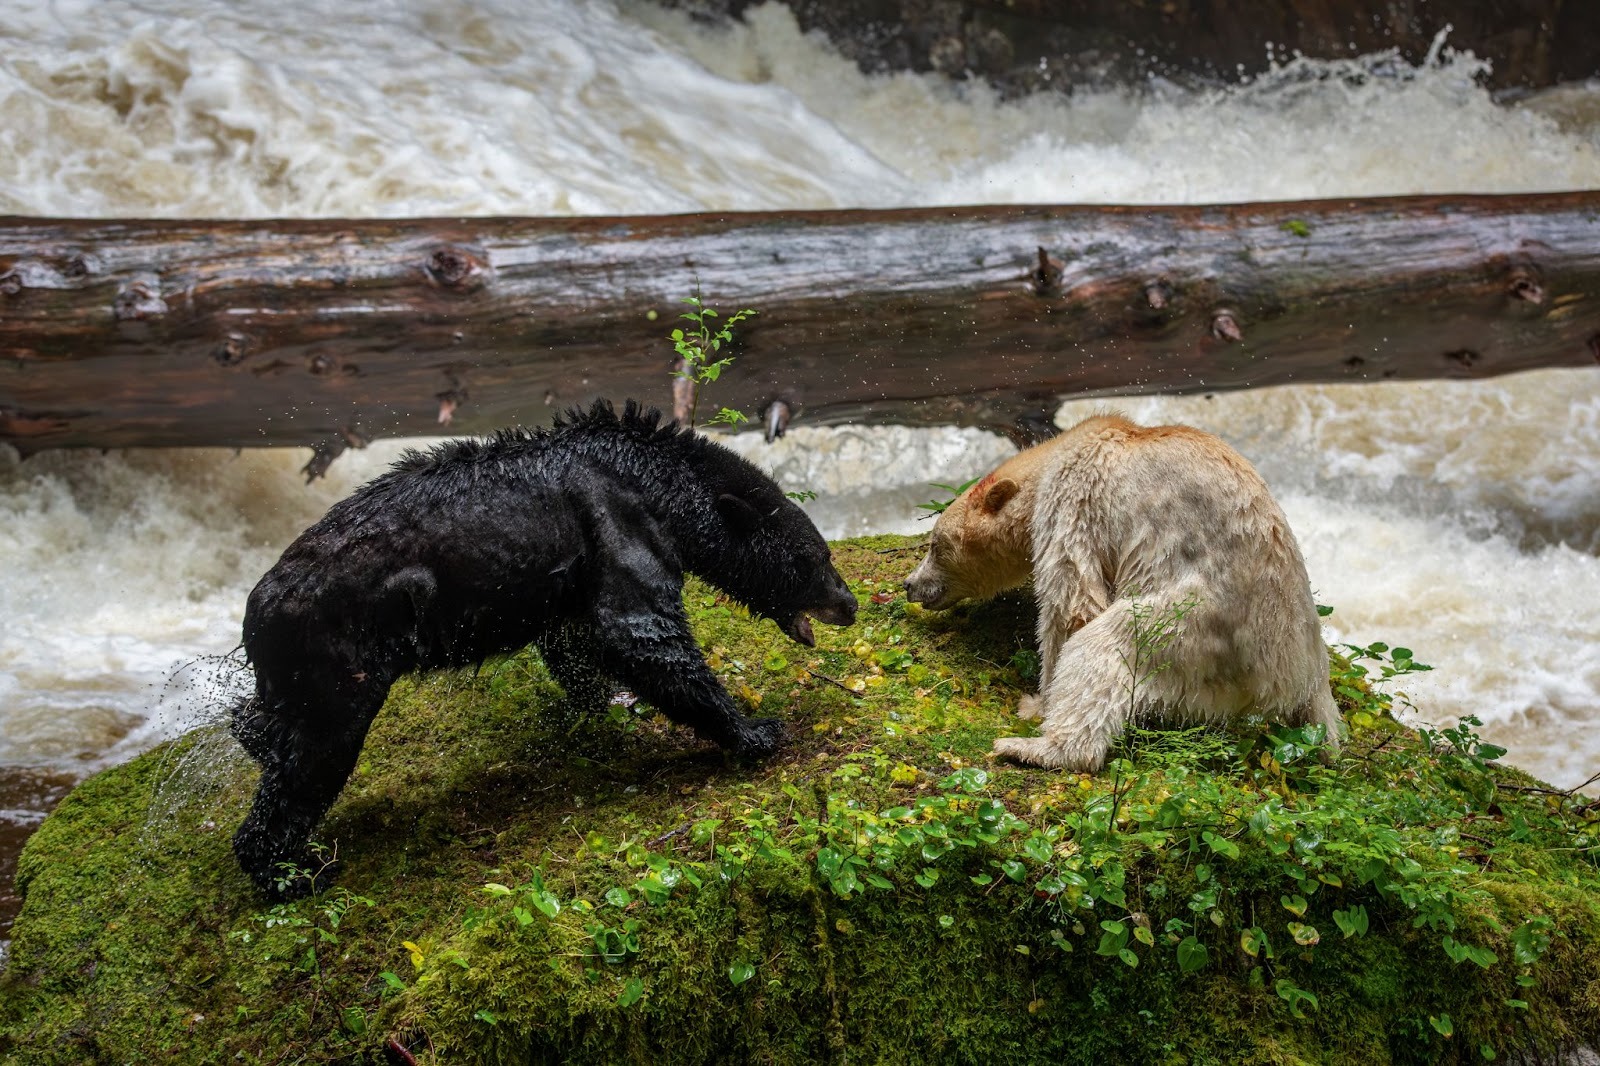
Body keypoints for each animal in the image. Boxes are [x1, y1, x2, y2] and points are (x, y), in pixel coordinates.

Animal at [232, 400, 857, 898]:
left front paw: (604, 706)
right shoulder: (617, 517)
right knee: (312, 758)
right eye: (817, 557)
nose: (850, 603)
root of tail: (256, 605)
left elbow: (575, 644)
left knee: (266, 728)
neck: (659, 481)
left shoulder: (580, 566)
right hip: (332, 660)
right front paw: (756, 729)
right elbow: (641, 631)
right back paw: (291, 872)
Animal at [903, 412, 1339, 771]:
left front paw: (1036, 702)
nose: (910, 585)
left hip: (1197, 629)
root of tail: (1296, 675)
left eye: (935, 545)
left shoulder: (1075, 497)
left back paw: (1033, 747)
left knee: (1105, 647)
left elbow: (1073, 601)